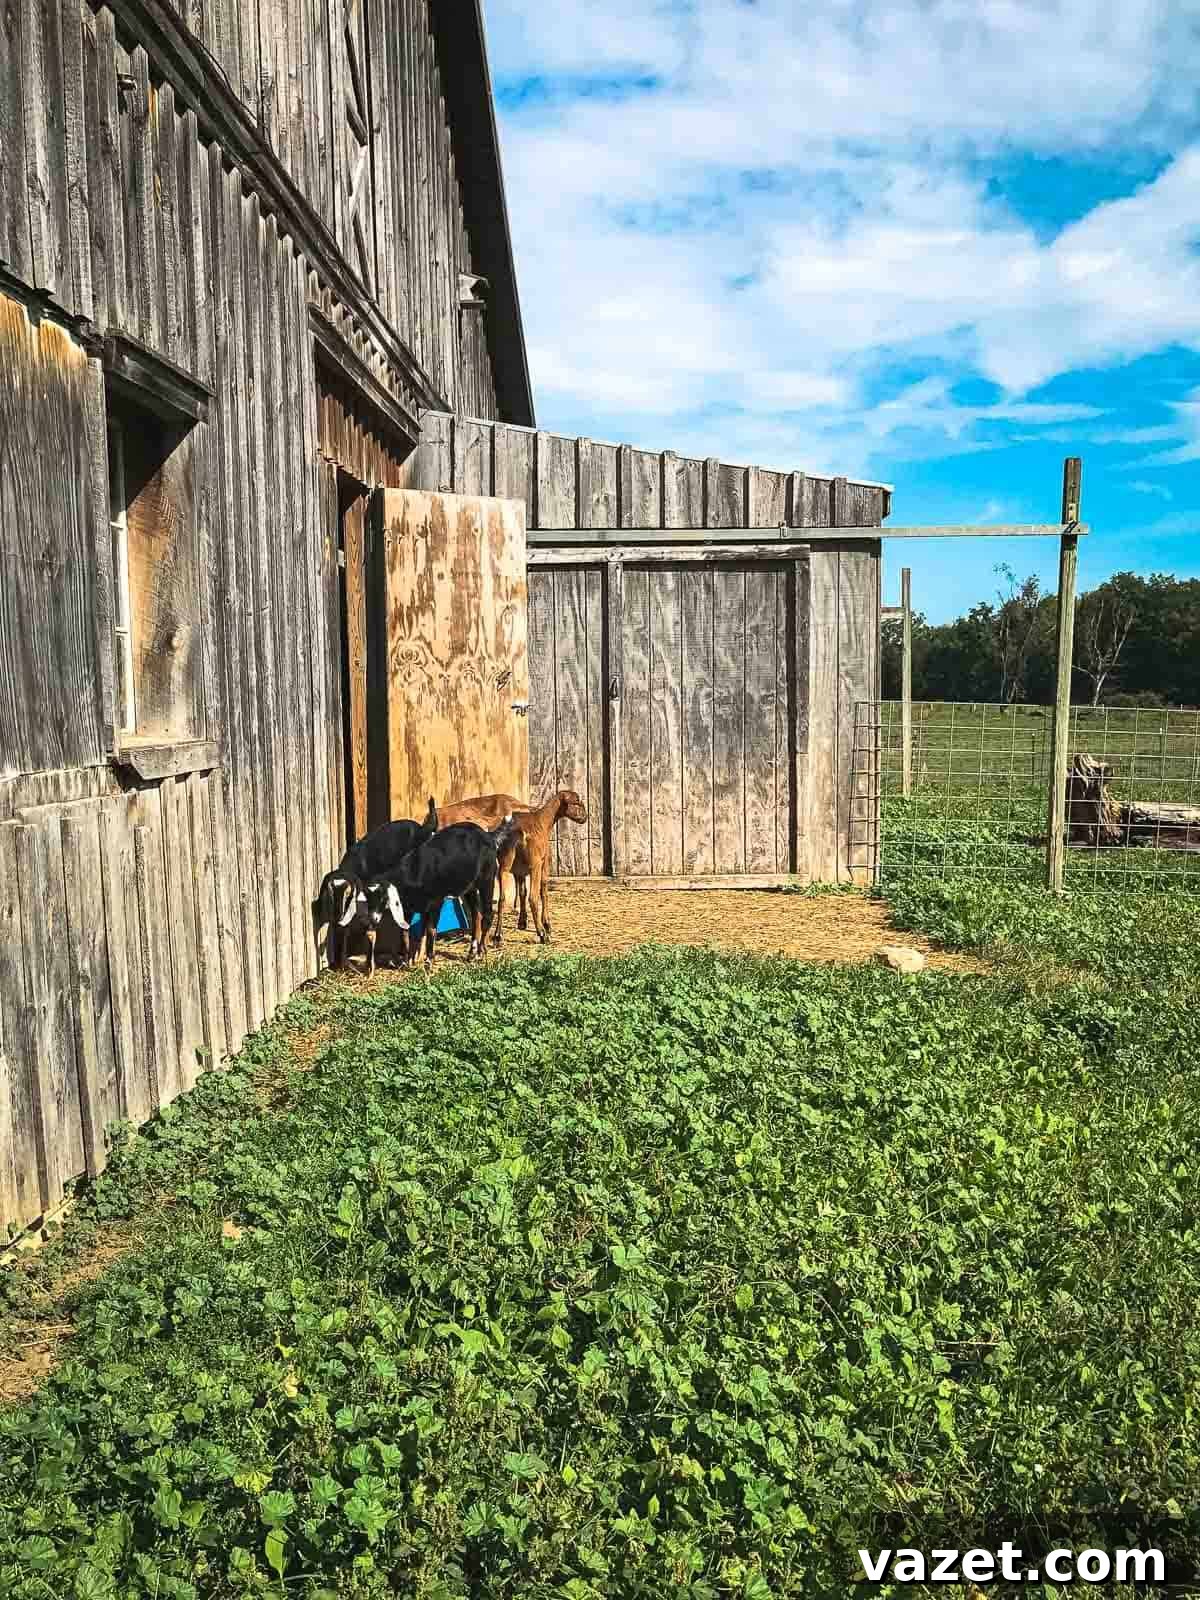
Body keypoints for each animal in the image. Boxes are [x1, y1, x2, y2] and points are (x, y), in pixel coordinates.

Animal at [311, 797, 438, 968]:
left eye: (347, 893)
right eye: (330, 893)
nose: (337, 916)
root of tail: (424, 830)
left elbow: (371, 929)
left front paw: (368, 965)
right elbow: (349, 927)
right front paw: (344, 964)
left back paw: (413, 957)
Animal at [361, 816, 518, 974]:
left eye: (383, 898)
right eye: (368, 898)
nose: (372, 919)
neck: (414, 873)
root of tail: (489, 836)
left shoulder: (436, 902)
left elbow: (431, 930)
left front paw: (428, 962)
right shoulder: (417, 907)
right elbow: (412, 931)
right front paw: (411, 961)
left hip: (487, 880)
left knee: (487, 914)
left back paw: (481, 952)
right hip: (470, 888)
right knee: (476, 915)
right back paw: (471, 953)